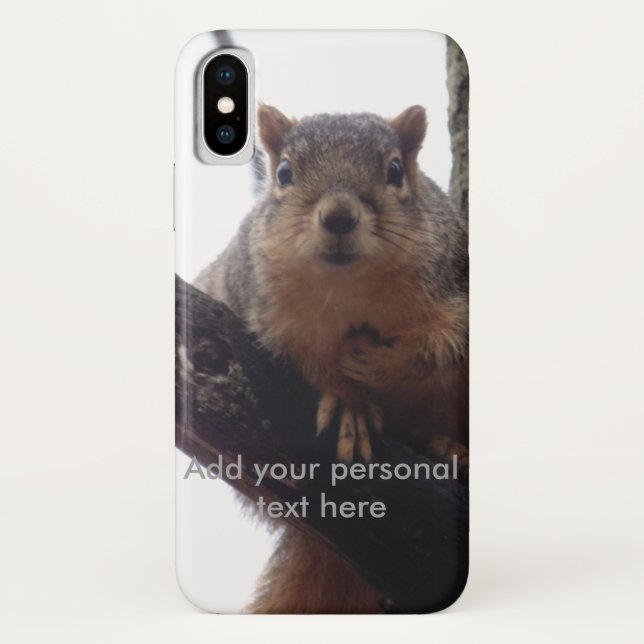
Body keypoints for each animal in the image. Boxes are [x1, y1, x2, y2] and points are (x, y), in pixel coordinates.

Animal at [194, 104, 469, 613]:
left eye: (395, 170)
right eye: (284, 173)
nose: (339, 216)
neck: (348, 286)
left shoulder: (456, 286)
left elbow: (440, 346)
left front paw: (377, 365)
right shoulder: (261, 307)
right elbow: (304, 357)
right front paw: (347, 400)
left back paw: (452, 448)